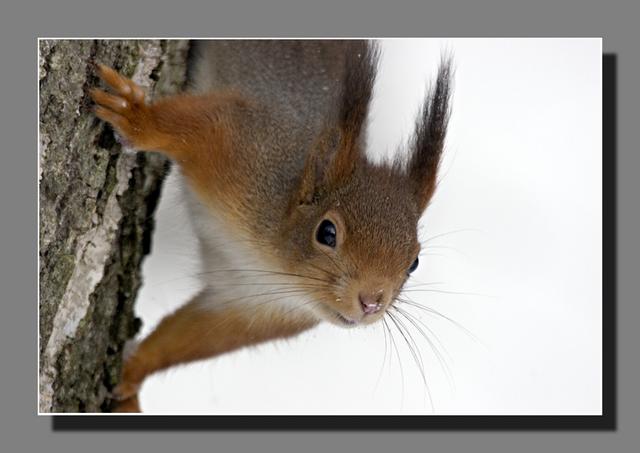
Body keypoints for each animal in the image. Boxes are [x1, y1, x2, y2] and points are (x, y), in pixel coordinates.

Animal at [90, 40, 452, 412]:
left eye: (414, 263)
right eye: (327, 232)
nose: (371, 302)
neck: (275, 268)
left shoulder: (249, 308)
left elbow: (190, 336)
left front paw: (132, 375)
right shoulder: (244, 146)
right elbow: (195, 124)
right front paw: (136, 117)